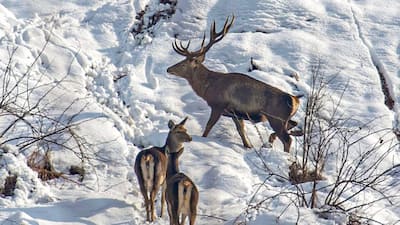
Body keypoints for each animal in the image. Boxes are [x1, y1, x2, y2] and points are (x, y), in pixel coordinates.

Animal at [167, 15, 302, 153]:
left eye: (183, 64)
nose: (168, 69)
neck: (208, 87)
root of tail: (295, 100)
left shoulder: (218, 105)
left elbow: (208, 127)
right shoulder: (236, 113)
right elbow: (241, 132)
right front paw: (248, 146)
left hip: (276, 119)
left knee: (287, 139)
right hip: (282, 119)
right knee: (294, 124)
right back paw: (271, 140)